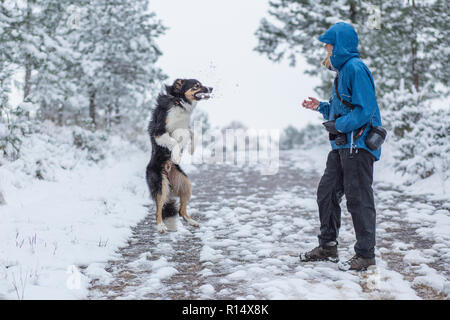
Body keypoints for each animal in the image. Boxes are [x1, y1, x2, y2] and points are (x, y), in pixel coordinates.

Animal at [146, 77, 213, 232]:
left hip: (186, 185)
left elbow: (190, 133)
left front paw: (191, 149)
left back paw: (192, 222)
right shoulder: (159, 132)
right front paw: (176, 155)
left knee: (181, 211)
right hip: (161, 185)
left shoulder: (185, 126)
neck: (179, 102)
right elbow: (174, 140)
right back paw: (160, 226)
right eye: (197, 86)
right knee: (158, 209)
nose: (211, 88)